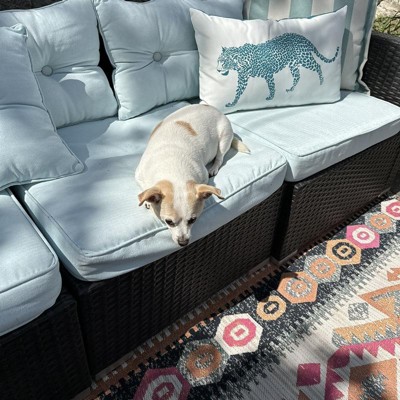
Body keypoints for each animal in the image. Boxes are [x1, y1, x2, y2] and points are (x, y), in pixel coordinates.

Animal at [135, 104, 249, 247]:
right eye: (169, 222)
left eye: (193, 220)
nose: (183, 242)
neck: (172, 168)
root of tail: (213, 108)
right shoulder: (138, 175)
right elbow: (144, 187)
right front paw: (148, 201)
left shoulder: (203, 175)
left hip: (224, 138)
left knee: (220, 157)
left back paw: (214, 167)